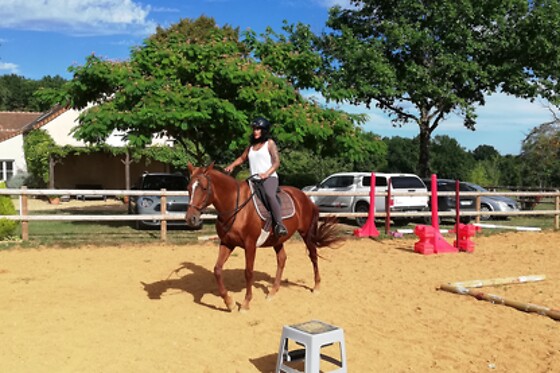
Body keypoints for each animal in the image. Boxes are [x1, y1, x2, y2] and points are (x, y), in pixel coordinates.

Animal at [186, 163, 342, 310]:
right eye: (188, 188)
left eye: (204, 188)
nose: (190, 218)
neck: (236, 207)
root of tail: (305, 197)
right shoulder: (227, 243)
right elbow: (217, 270)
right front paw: (229, 303)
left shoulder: (250, 245)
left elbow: (248, 272)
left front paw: (245, 303)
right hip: (277, 239)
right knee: (282, 259)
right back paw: (273, 292)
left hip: (306, 233)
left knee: (313, 255)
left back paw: (316, 287)